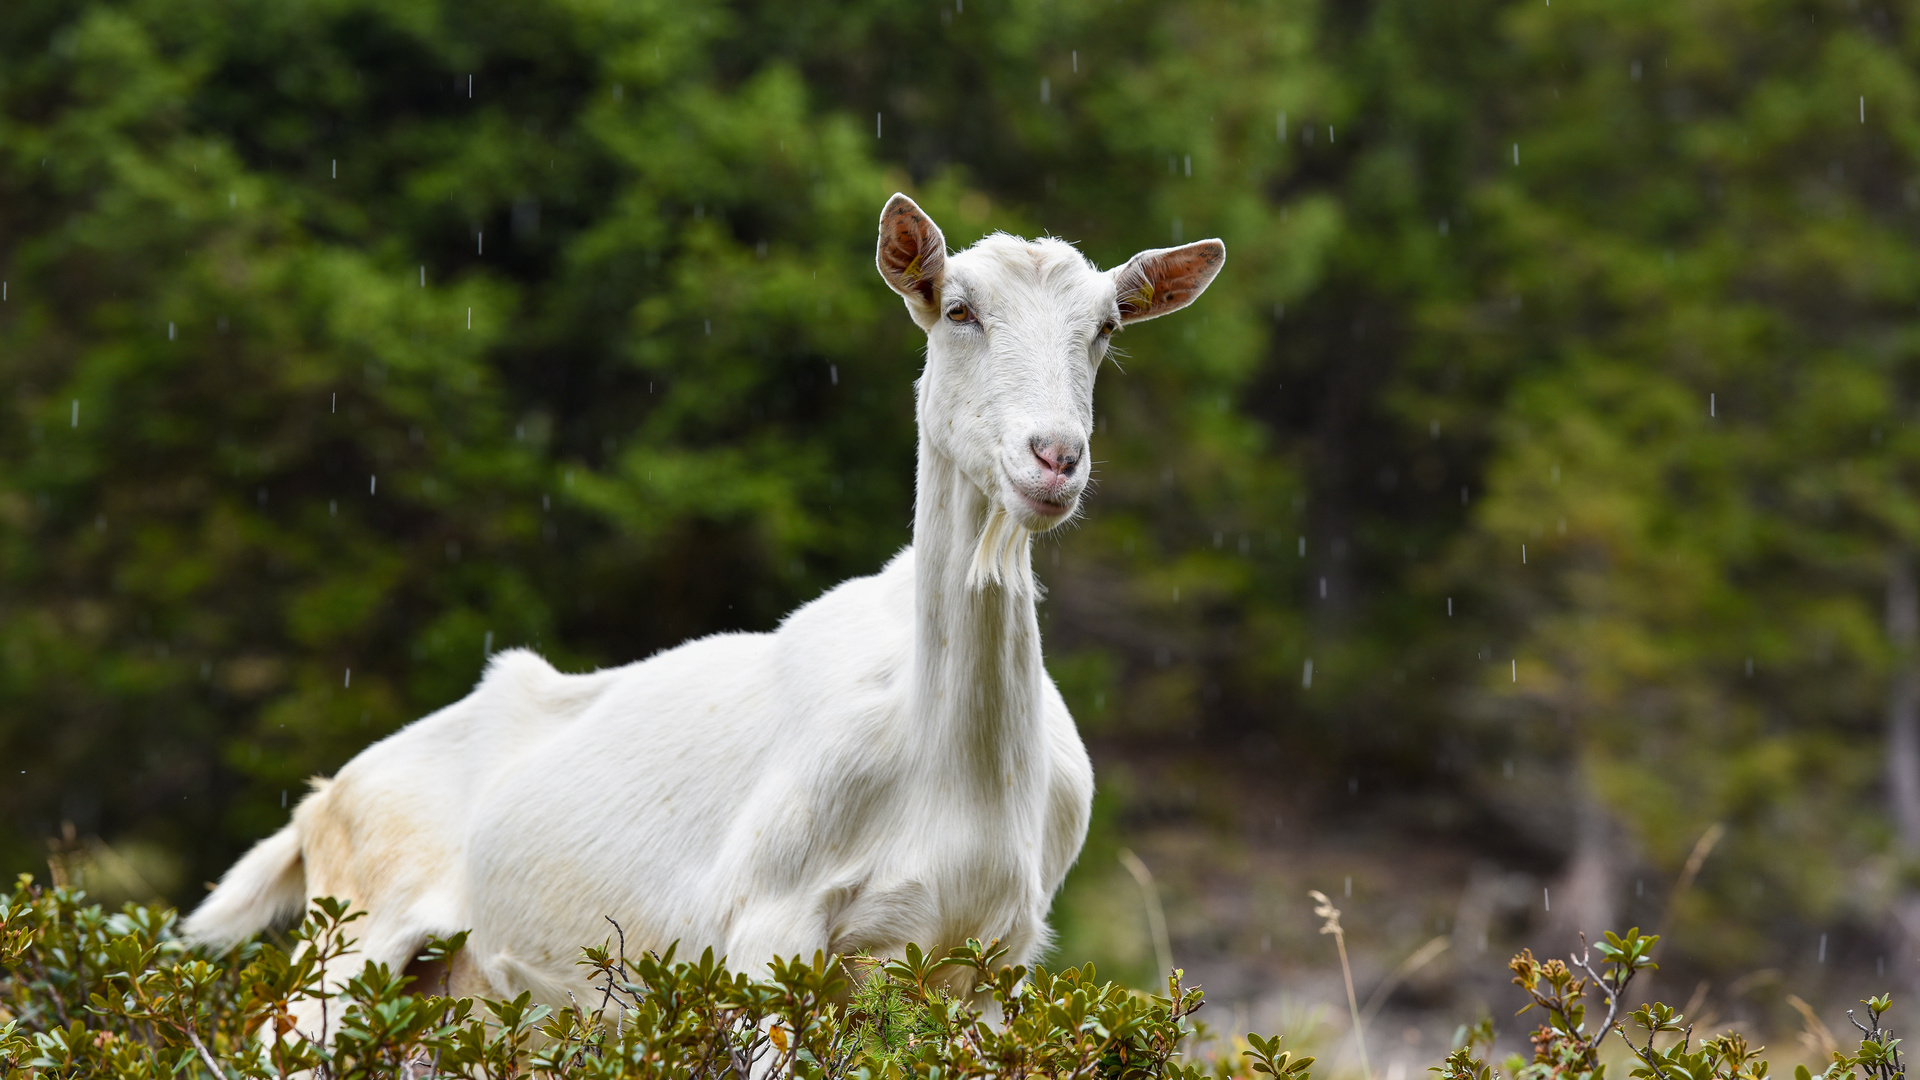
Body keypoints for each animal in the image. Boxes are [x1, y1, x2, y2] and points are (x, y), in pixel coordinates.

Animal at [187, 193, 1221, 1022]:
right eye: (958, 308)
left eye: (1106, 328)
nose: (1054, 458)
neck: (951, 767)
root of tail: (322, 803)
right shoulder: (768, 930)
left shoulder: (992, 964)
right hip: (352, 947)